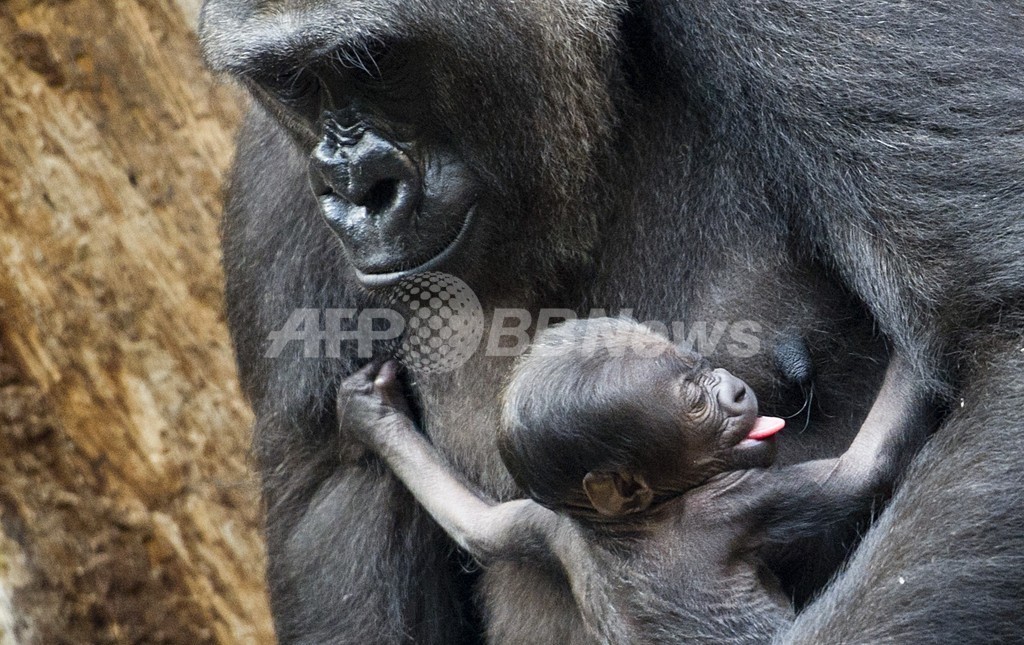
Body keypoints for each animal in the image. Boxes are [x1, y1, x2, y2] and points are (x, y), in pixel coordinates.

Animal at [337, 319, 929, 645]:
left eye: (702, 365)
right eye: (696, 400)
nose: (736, 389)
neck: (622, 522)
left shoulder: (544, 524)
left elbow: (475, 525)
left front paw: (376, 416)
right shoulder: (730, 504)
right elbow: (865, 468)